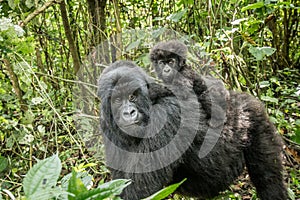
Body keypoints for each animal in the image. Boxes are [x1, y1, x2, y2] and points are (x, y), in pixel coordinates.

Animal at [97, 60, 288, 199]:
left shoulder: (165, 115)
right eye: (116, 100)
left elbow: (139, 191)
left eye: (132, 96)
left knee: (268, 179)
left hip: (256, 119)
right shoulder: (107, 126)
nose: (129, 112)